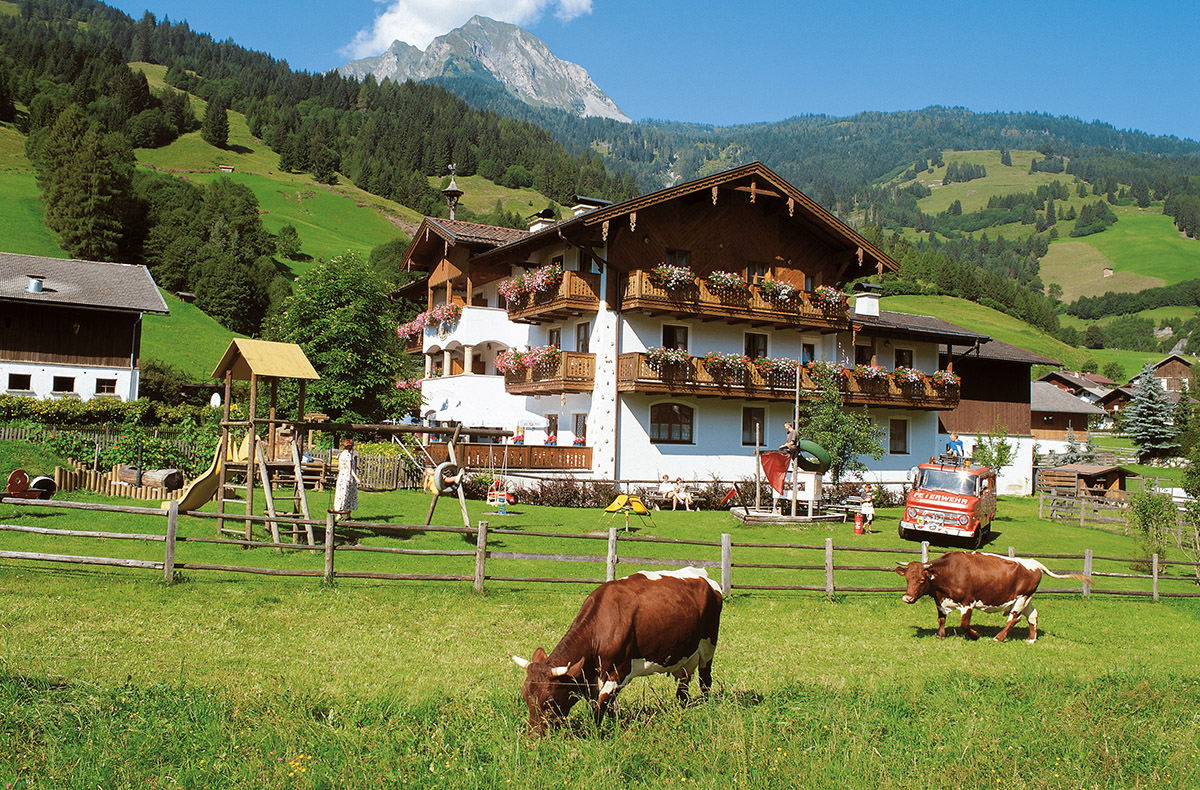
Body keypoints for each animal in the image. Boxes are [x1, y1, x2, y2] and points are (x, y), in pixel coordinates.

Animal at [508, 566, 720, 729]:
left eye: (549, 701)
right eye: (525, 697)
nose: (534, 736)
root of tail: (702, 574)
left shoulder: (619, 671)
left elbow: (600, 707)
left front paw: (595, 734)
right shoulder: (591, 679)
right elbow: (604, 707)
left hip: (708, 646)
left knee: (705, 680)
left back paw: (706, 707)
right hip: (685, 655)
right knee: (683, 687)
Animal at [897, 547, 1094, 638]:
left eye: (922, 580)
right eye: (907, 579)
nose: (907, 597)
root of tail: (1034, 563)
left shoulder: (968, 602)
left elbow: (964, 623)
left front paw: (975, 635)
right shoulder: (940, 601)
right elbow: (941, 619)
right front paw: (940, 635)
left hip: (1021, 598)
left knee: (1014, 618)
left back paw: (999, 637)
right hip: (1026, 598)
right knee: (1033, 615)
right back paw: (1031, 639)